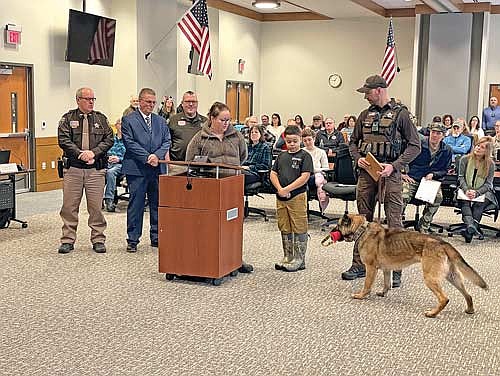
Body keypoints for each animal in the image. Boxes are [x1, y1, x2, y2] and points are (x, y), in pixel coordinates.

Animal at [326, 214, 486, 318]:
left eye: (337, 225)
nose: (330, 231)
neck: (362, 229)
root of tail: (443, 243)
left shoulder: (371, 268)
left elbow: (367, 285)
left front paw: (361, 296)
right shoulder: (386, 269)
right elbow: (387, 284)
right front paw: (383, 293)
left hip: (430, 278)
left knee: (444, 298)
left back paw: (432, 313)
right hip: (453, 277)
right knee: (468, 295)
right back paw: (470, 310)